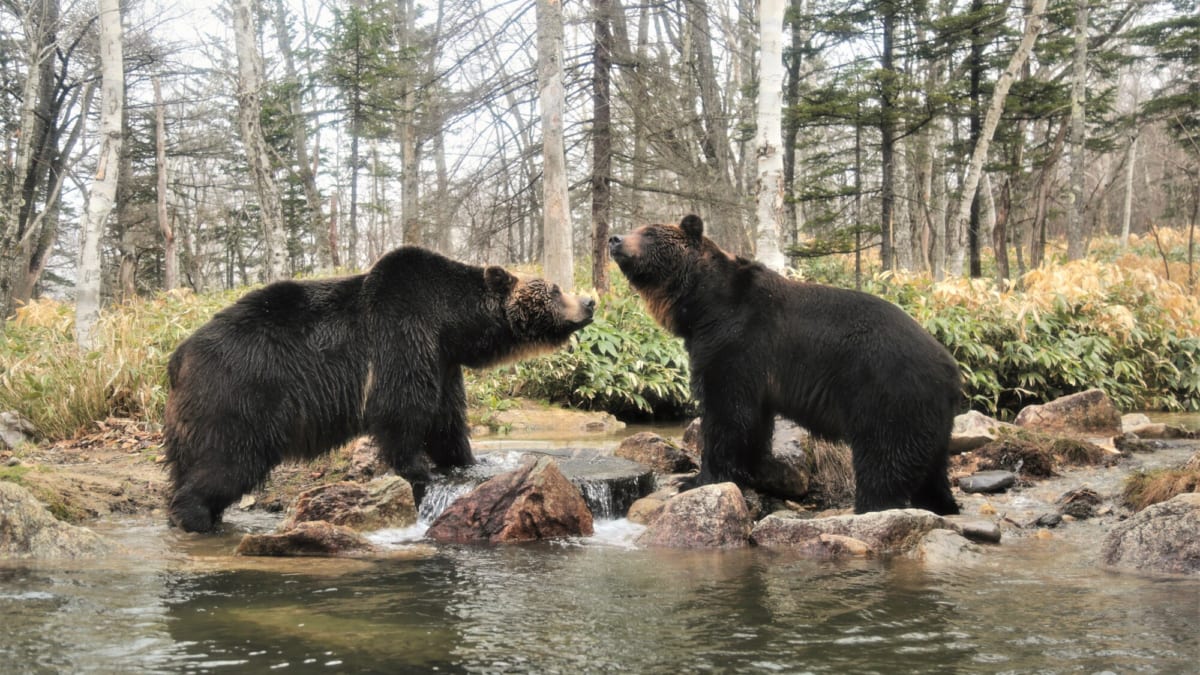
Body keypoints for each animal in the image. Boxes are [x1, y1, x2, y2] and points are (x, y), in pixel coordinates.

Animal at [164, 243, 595, 528]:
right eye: (555, 289)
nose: (590, 301)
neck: (452, 323)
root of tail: (178, 356)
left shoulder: (442, 360)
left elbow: (447, 420)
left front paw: (466, 460)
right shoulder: (402, 335)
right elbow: (401, 411)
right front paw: (419, 474)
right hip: (240, 395)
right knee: (227, 460)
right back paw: (195, 516)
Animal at [614, 214, 960, 514]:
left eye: (649, 233)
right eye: (638, 227)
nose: (615, 239)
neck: (702, 306)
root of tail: (950, 366)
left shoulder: (736, 343)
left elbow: (725, 411)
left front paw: (697, 479)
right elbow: (753, 421)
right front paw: (749, 470)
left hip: (888, 391)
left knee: (884, 456)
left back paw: (872, 505)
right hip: (930, 417)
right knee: (931, 468)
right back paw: (941, 504)